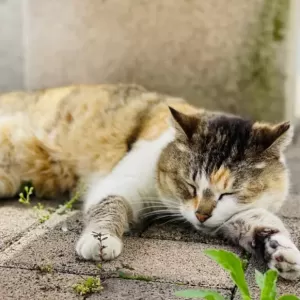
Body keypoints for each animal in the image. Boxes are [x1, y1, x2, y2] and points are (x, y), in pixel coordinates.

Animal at [0, 83, 300, 280]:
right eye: (189, 185)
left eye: (230, 193)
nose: (201, 215)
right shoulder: (119, 183)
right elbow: (110, 206)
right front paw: (101, 240)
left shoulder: (234, 215)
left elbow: (263, 223)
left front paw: (281, 251)